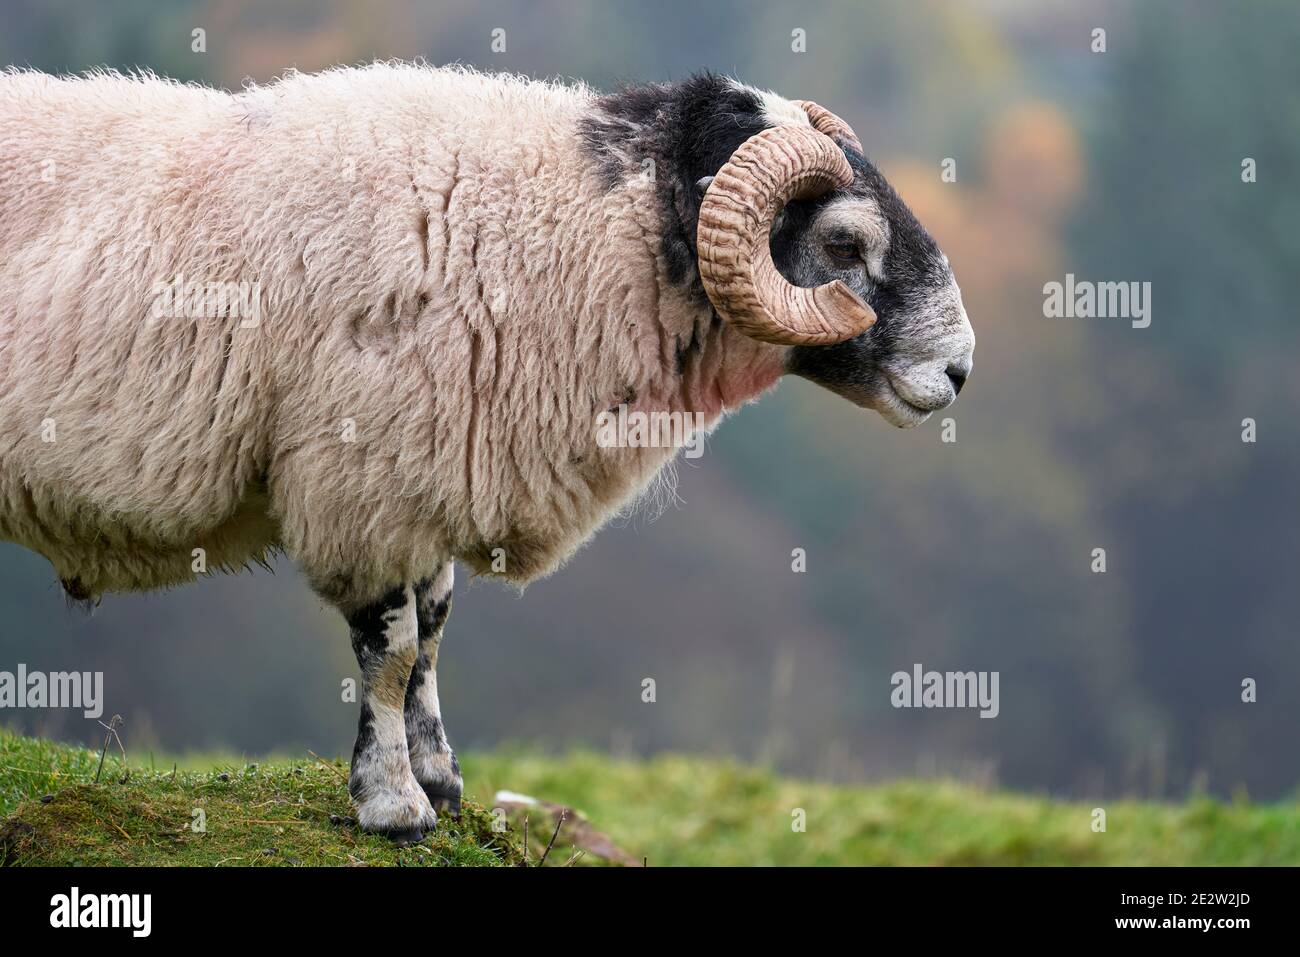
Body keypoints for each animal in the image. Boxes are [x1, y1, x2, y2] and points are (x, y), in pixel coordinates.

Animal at [0, 63, 977, 842]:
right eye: (845, 242)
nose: (960, 369)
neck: (560, 226)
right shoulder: (368, 482)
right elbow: (390, 651)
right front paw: (393, 804)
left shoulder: (432, 470)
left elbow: (432, 631)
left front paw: (440, 780)